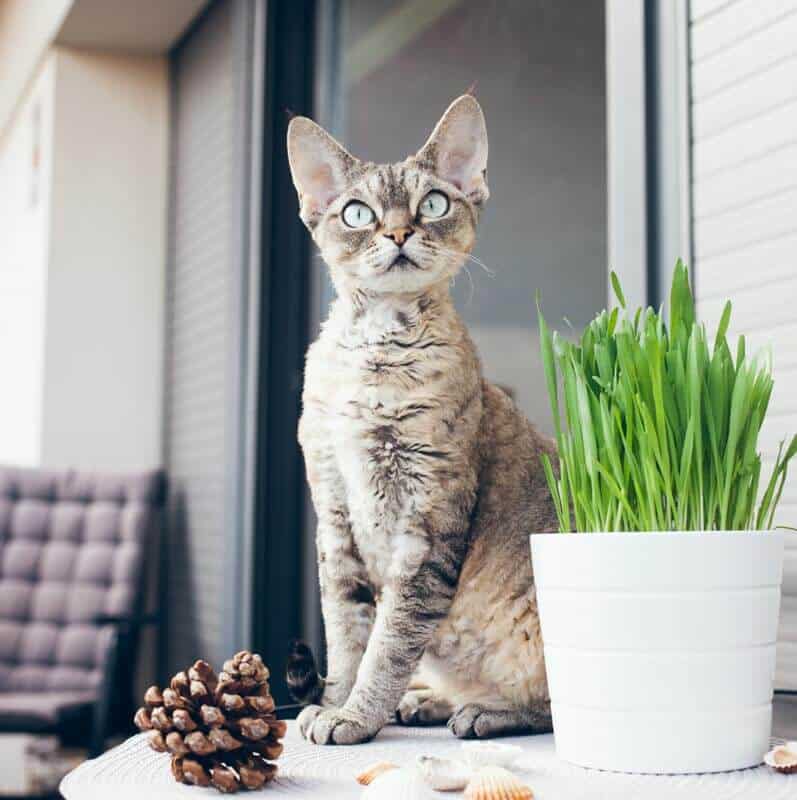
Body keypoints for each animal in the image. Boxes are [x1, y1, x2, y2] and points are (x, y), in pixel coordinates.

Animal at [282, 97, 556, 748]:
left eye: (432, 203)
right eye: (357, 213)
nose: (399, 233)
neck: (375, 356)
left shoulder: (427, 521)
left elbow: (390, 639)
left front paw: (355, 717)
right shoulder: (334, 511)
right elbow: (349, 633)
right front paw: (336, 704)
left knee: (555, 704)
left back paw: (482, 712)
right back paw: (425, 701)